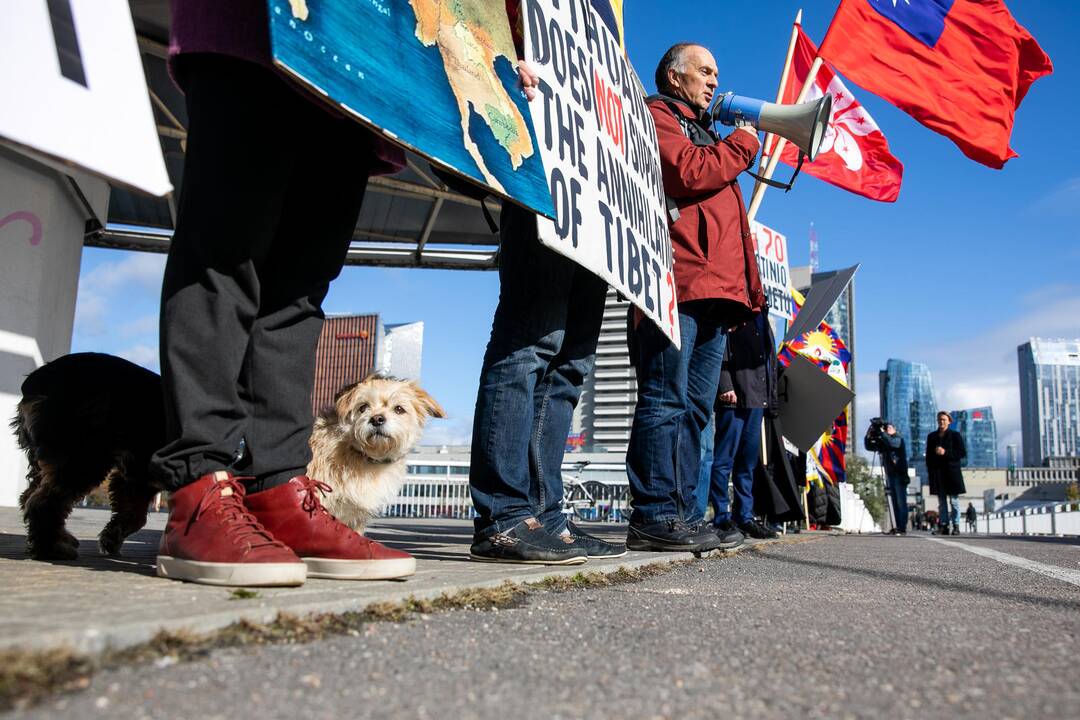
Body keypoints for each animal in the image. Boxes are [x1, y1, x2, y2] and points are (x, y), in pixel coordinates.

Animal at [11, 351, 164, 561]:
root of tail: (35, 381)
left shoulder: (136, 477)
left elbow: (134, 515)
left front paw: (111, 539)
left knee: (28, 497)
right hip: (81, 459)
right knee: (43, 503)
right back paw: (52, 548)